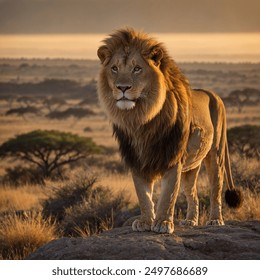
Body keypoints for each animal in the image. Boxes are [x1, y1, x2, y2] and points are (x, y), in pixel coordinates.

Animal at [97, 28, 242, 234]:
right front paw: (145, 222)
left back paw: (215, 220)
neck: (141, 119)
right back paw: (190, 221)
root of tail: (212, 94)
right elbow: (143, 196)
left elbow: (168, 195)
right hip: (191, 166)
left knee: (215, 189)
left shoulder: (173, 157)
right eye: (114, 68)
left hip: (216, 154)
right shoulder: (137, 159)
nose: (122, 87)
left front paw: (163, 223)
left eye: (137, 68)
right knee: (193, 193)